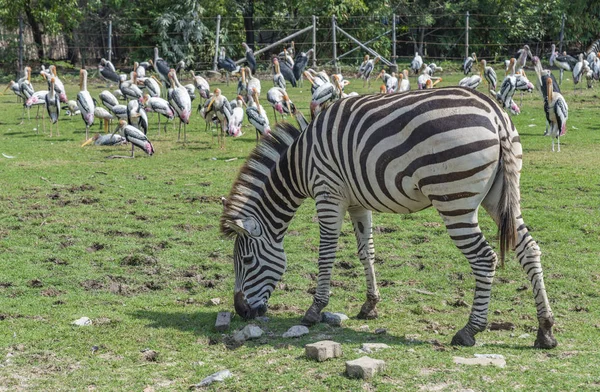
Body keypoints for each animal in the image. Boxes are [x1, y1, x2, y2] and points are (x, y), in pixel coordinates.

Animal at [220, 86, 556, 350]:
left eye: (246, 261)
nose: (241, 311)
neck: (300, 164)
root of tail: (494, 112)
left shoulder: (328, 195)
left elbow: (326, 254)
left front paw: (314, 309)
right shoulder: (357, 203)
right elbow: (365, 251)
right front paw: (370, 305)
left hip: (455, 200)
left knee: (485, 258)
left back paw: (469, 330)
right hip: (499, 195)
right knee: (529, 249)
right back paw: (545, 330)